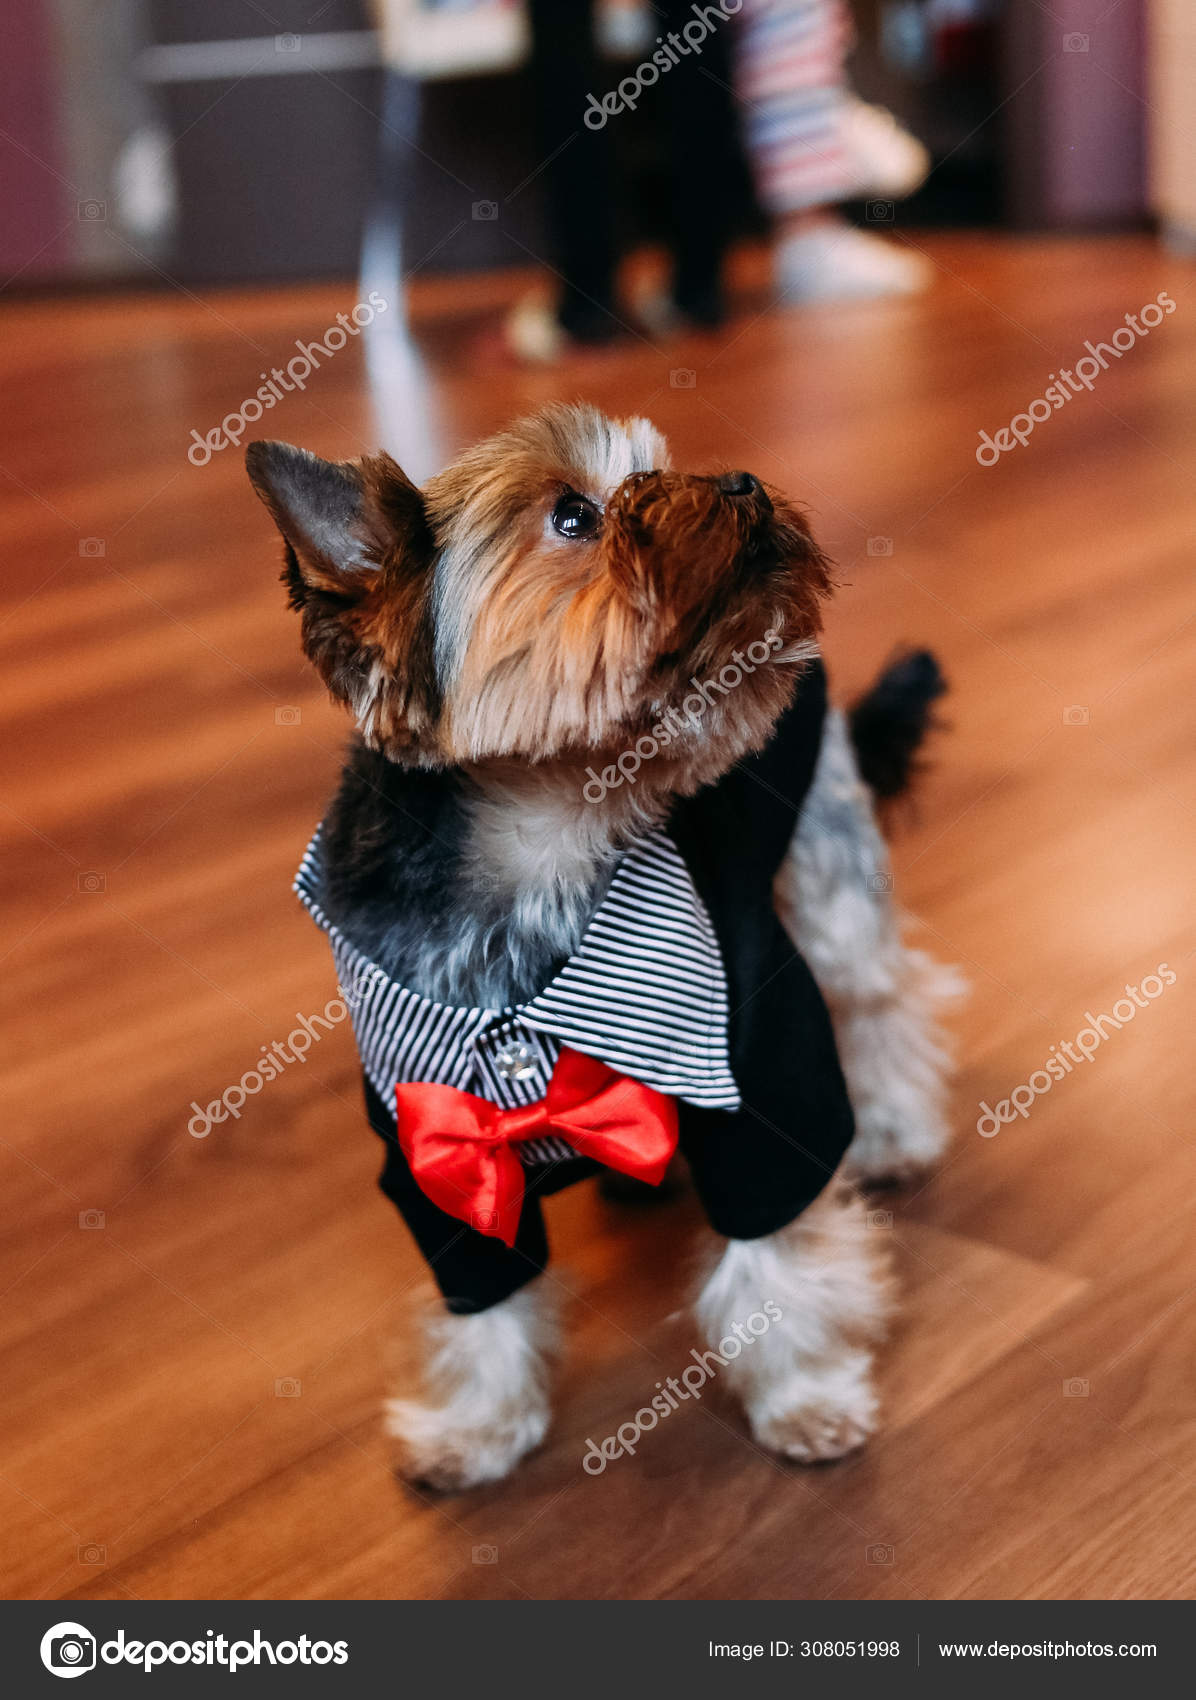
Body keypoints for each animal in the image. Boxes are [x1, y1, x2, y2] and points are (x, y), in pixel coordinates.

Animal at [248, 408, 958, 1489]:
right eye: (572, 515)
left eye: (657, 469)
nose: (744, 482)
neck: (549, 847)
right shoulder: (431, 1151)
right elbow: (482, 1299)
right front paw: (476, 1427)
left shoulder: (754, 1068)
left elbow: (776, 1252)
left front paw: (803, 1397)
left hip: (827, 852)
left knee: (879, 994)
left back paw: (892, 1133)